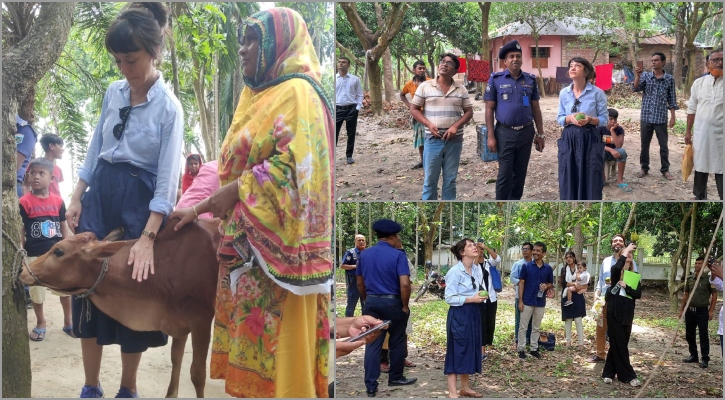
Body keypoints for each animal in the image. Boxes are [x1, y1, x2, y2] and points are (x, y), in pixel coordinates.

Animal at [19, 220, 221, 398]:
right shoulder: (179, 324)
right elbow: (176, 359)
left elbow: (197, 375)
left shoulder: (201, 321)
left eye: (58, 251)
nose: (22, 271)